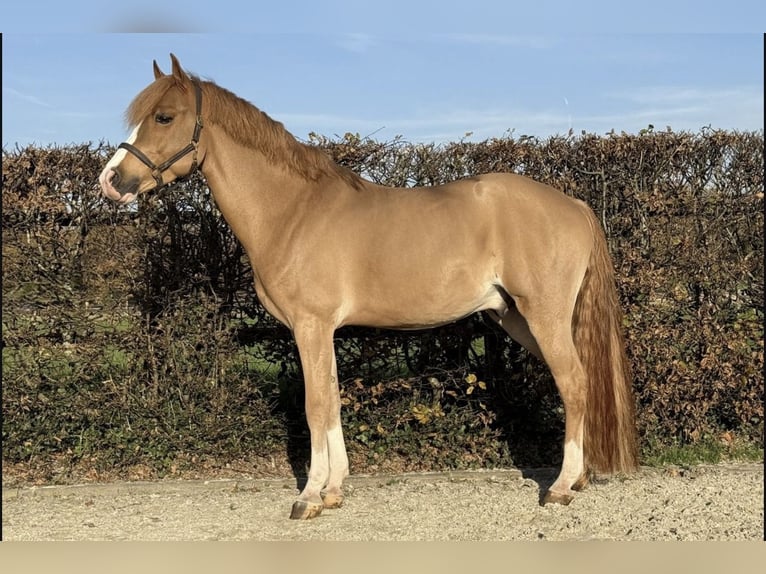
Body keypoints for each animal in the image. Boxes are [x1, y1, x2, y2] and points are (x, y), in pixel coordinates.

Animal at [99, 54, 638, 520]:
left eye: (164, 117)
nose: (111, 181)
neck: (292, 211)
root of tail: (575, 205)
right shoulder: (322, 332)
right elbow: (332, 398)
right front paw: (335, 490)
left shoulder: (310, 326)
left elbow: (315, 406)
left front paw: (309, 497)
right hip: (516, 318)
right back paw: (578, 478)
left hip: (542, 315)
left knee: (574, 383)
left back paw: (562, 487)